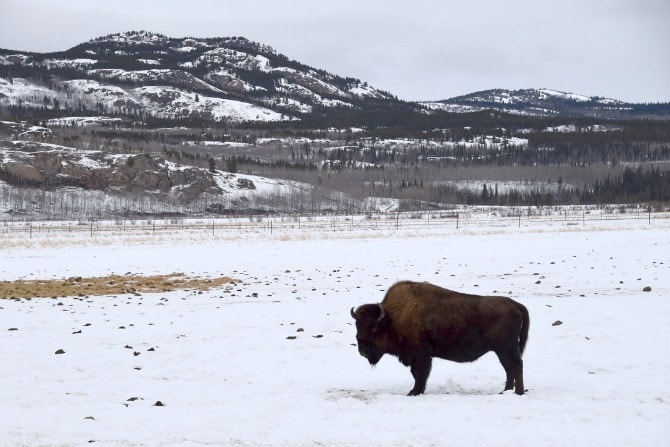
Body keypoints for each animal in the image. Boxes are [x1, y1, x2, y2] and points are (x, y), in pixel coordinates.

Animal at [352, 282, 532, 398]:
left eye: (374, 328)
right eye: (357, 326)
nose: (362, 350)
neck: (392, 319)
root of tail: (514, 304)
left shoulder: (420, 356)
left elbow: (419, 374)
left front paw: (414, 392)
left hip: (505, 348)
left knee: (516, 365)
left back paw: (517, 392)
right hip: (501, 350)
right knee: (509, 368)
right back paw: (505, 391)